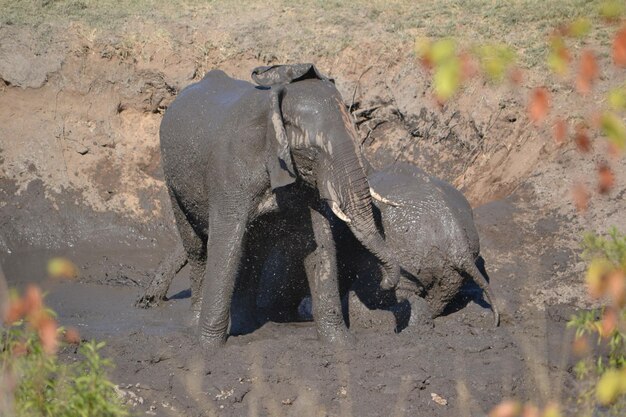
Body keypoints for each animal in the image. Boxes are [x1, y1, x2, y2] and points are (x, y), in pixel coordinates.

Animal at [138, 62, 400, 348]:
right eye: (314, 150)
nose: (386, 284)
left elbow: (321, 243)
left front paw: (340, 344)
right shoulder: (232, 170)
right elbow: (225, 244)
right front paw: (208, 348)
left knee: (251, 250)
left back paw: (244, 324)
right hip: (172, 178)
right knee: (197, 248)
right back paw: (193, 324)